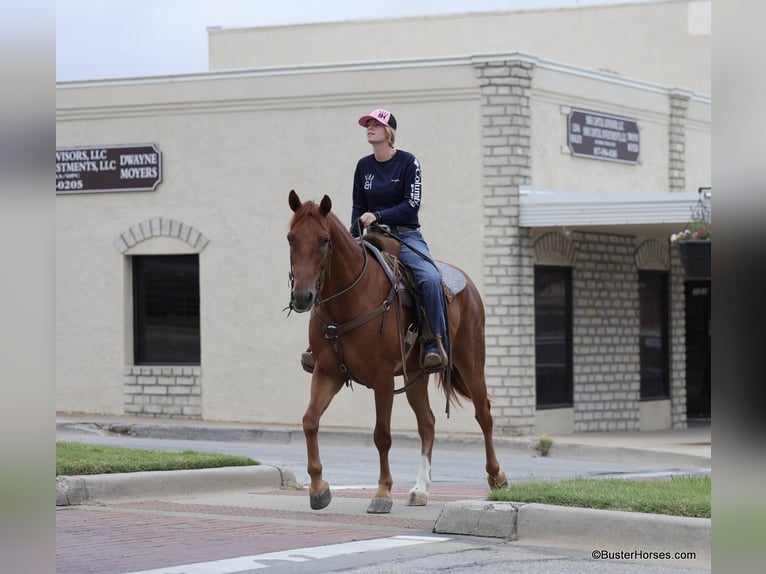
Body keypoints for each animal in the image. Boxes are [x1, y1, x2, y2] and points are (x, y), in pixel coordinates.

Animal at [286, 189, 507, 514]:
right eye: (291, 238)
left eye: (324, 239)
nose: (303, 297)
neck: (351, 299)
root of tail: (468, 284)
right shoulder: (327, 373)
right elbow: (310, 421)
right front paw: (318, 488)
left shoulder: (382, 378)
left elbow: (382, 435)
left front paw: (382, 493)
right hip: (416, 374)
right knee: (427, 423)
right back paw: (420, 489)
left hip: (471, 363)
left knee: (484, 415)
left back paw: (496, 477)